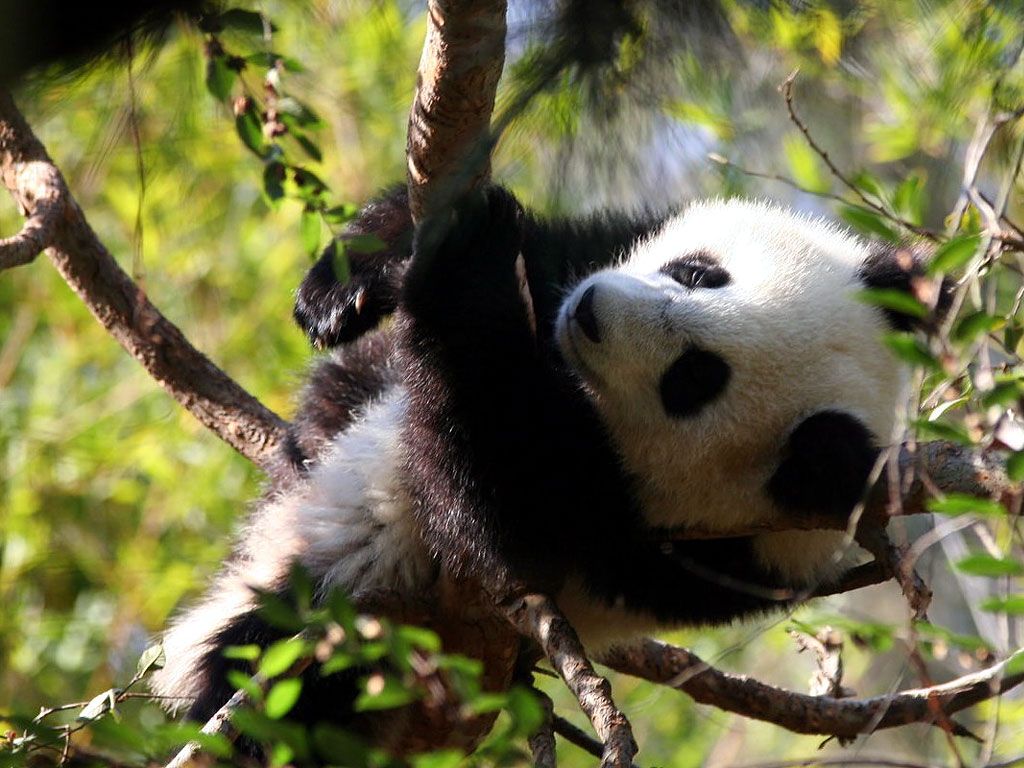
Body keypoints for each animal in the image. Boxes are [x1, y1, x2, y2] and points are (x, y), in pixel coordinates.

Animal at [150, 184, 941, 732]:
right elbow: (540, 242)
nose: (589, 312)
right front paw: (352, 281)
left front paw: (468, 270)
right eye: (699, 274)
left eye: (694, 379)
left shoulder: (650, 543)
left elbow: (493, 500)